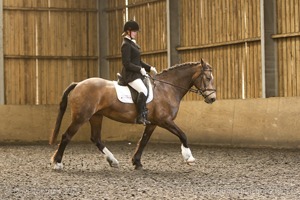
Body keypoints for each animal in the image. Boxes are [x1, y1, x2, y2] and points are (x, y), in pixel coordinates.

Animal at [50, 58, 217, 170]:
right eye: (208, 78)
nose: (212, 98)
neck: (167, 88)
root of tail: (78, 84)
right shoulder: (165, 120)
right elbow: (183, 135)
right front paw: (189, 157)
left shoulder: (153, 123)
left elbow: (143, 141)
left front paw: (137, 162)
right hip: (81, 117)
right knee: (66, 136)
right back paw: (57, 162)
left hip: (96, 116)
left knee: (96, 138)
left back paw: (113, 161)